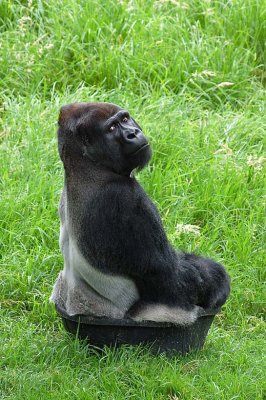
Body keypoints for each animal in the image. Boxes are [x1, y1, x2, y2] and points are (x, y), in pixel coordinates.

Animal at [50, 101, 231, 324]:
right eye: (112, 128)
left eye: (125, 119)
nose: (133, 133)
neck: (86, 168)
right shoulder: (124, 197)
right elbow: (168, 275)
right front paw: (215, 279)